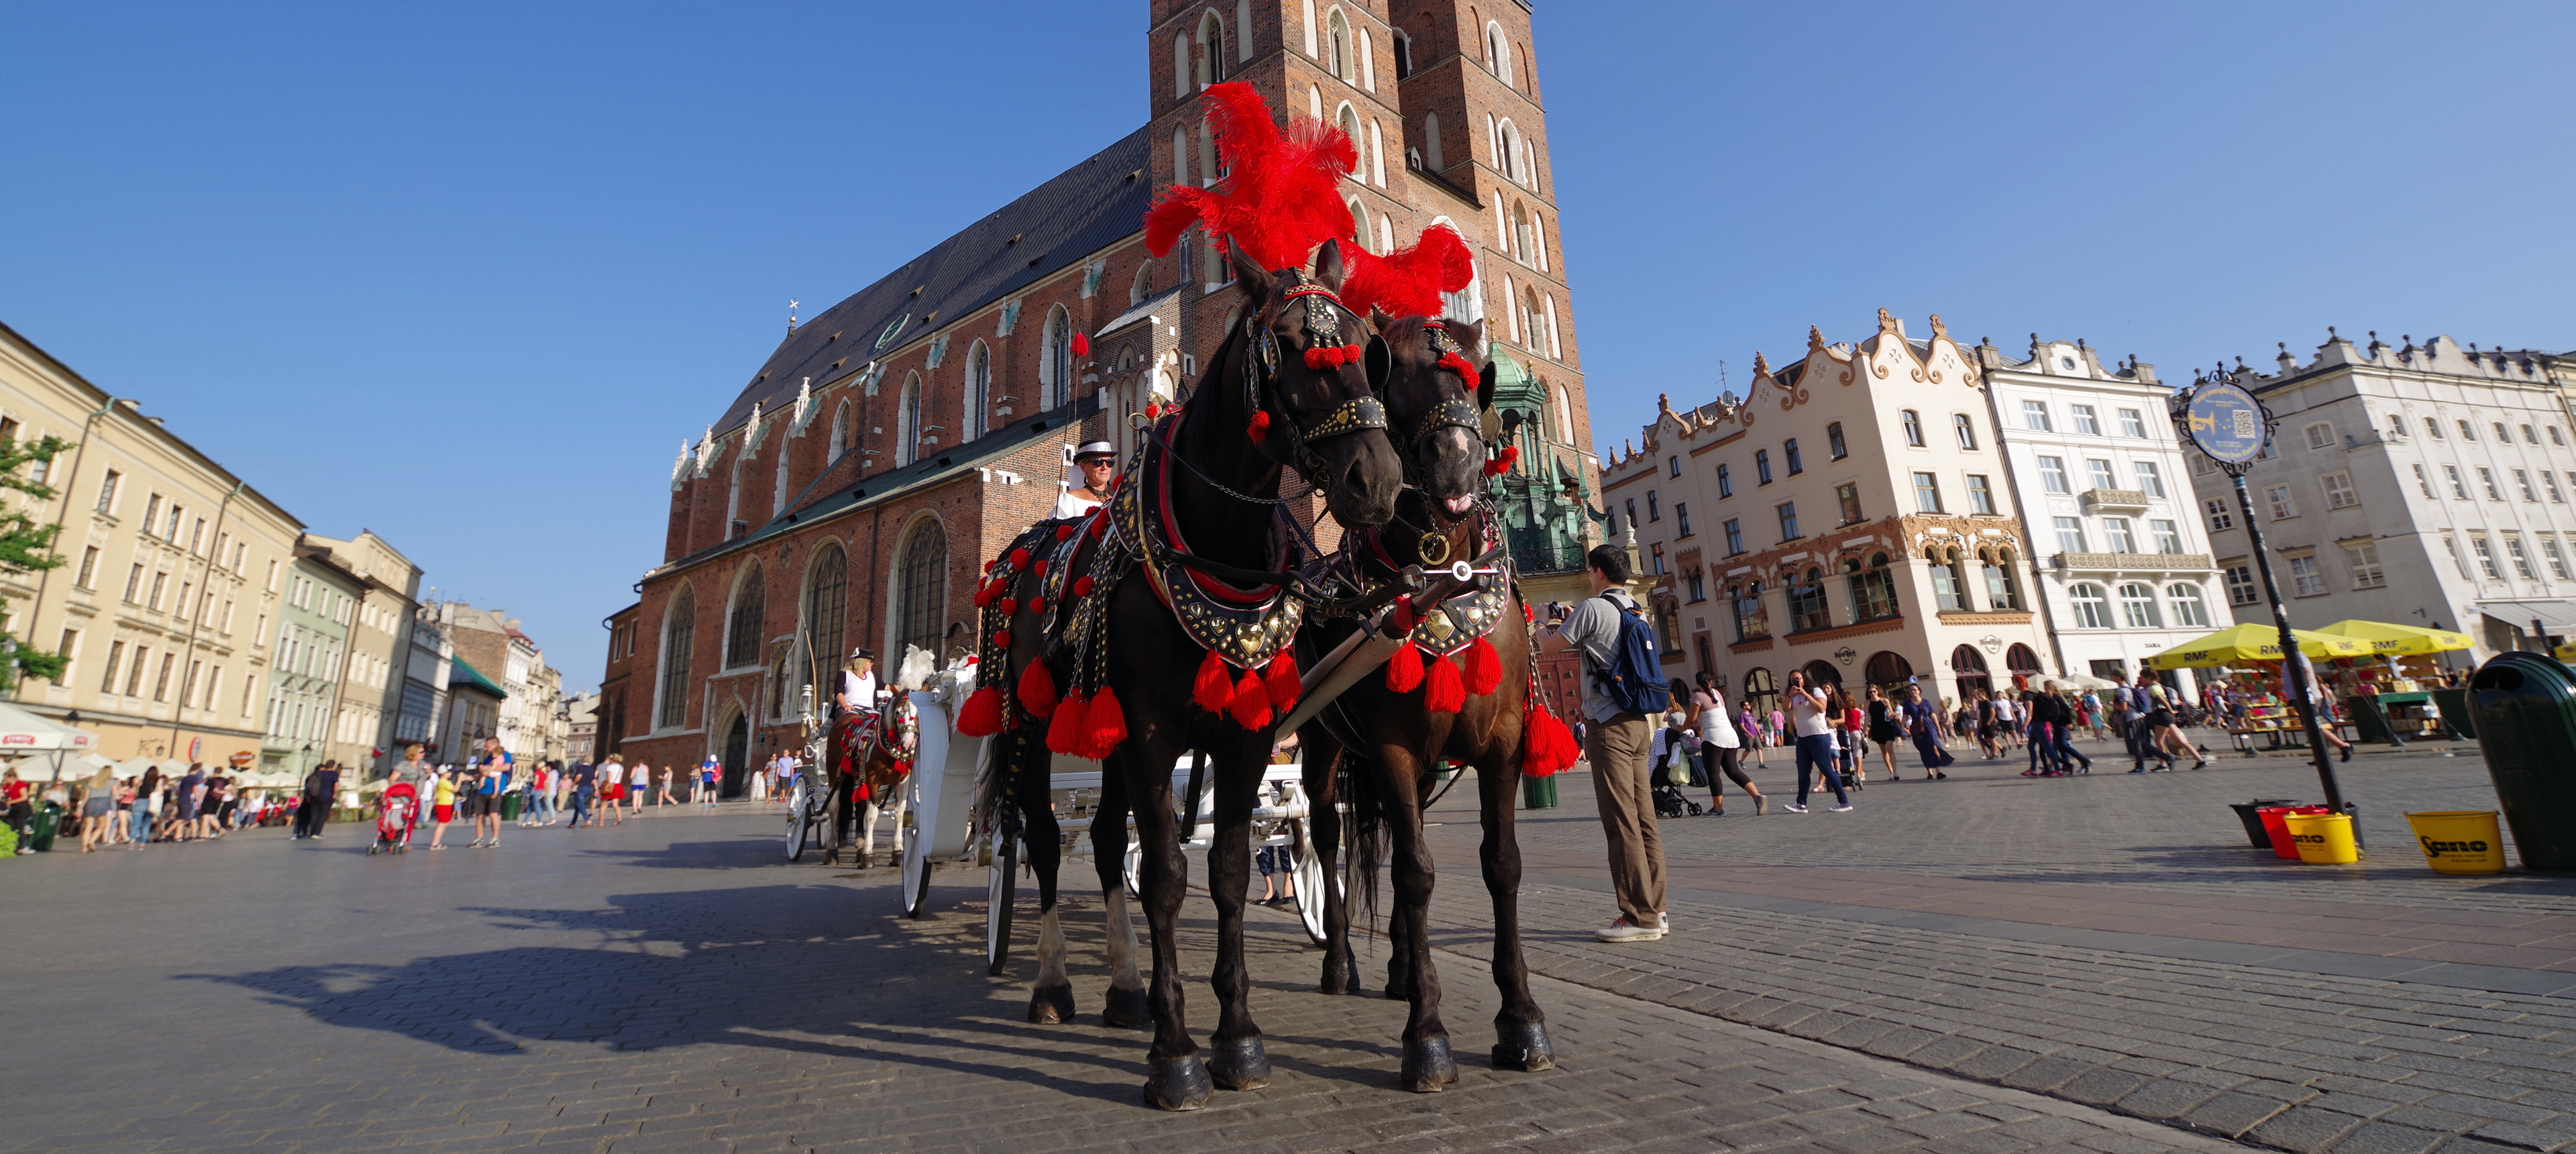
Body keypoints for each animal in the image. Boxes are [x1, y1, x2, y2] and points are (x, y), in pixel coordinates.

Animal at [973, 240, 1401, 1107]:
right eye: (1293, 350)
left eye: (1368, 348)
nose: (1377, 480)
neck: (1217, 546)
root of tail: (1022, 553)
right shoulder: (1147, 731)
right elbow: (1168, 875)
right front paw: (1175, 1056)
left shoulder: (1244, 734)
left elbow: (1228, 871)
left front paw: (1237, 1039)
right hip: (1030, 723)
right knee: (1041, 840)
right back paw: (1054, 984)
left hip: (1096, 732)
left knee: (1107, 841)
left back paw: (1122, 989)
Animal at [1298, 313, 1556, 1092]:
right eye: (1389, 369)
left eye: (1476, 377)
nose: (1458, 462)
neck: (1445, 572)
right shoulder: (1392, 749)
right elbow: (1417, 873)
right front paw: (1428, 1037)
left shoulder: (1502, 745)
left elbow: (1501, 865)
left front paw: (1521, 1019)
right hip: (1323, 749)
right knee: (1330, 838)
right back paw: (1342, 962)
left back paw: (1402, 970)